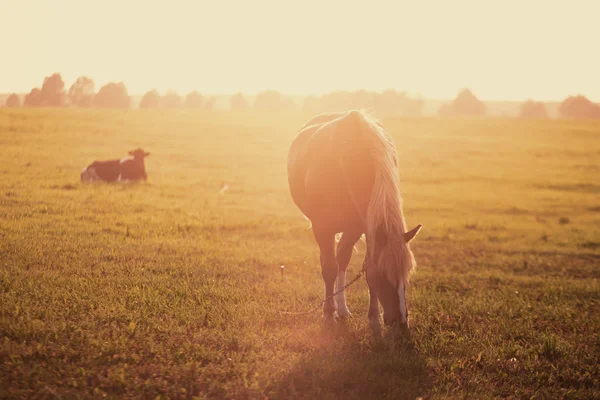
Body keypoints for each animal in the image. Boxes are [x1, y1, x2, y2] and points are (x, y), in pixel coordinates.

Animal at [288, 110, 422, 328]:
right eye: (385, 275)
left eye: (407, 275)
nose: (400, 321)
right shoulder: (322, 228)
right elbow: (329, 269)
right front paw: (328, 313)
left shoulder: (362, 227)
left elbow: (361, 268)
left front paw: (374, 316)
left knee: (342, 259)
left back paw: (342, 309)